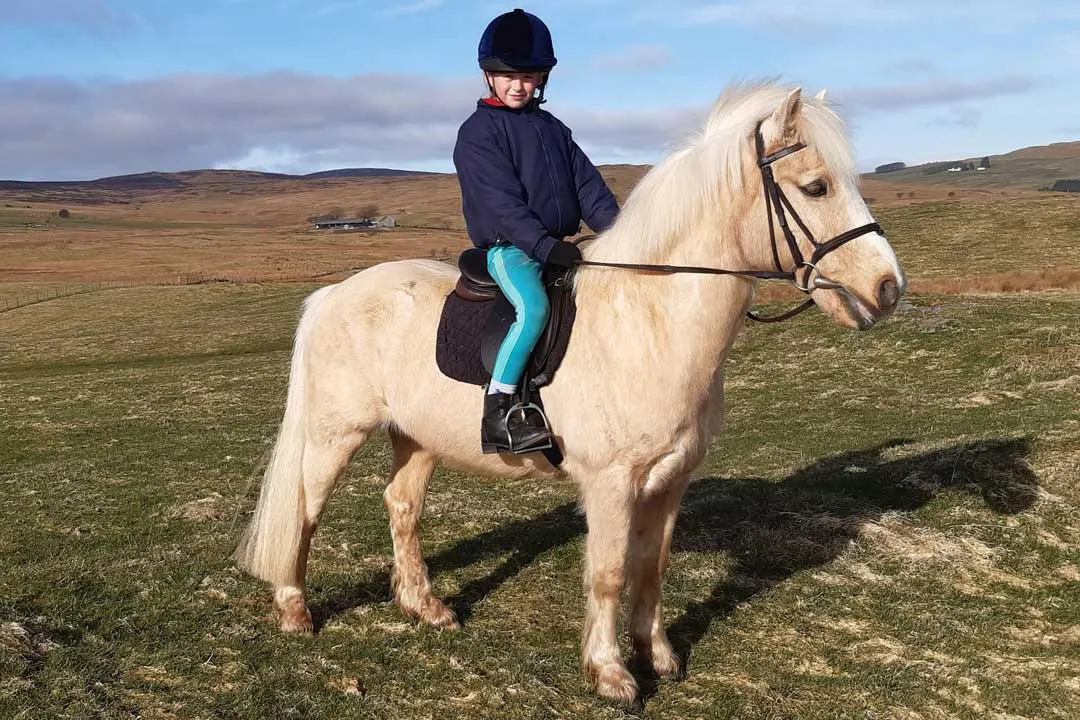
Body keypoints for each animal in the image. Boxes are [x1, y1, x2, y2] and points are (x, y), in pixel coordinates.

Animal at [235, 81, 906, 706]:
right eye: (816, 187)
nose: (888, 288)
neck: (650, 324)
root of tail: (334, 294)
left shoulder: (670, 481)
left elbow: (651, 567)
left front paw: (659, 656)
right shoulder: (611, 482)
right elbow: (608, 573)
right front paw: (610, 674)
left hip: (417, 438)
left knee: (401, 507)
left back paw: (427, 607)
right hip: (335, 435)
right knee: (305, 510)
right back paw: (295, 611)